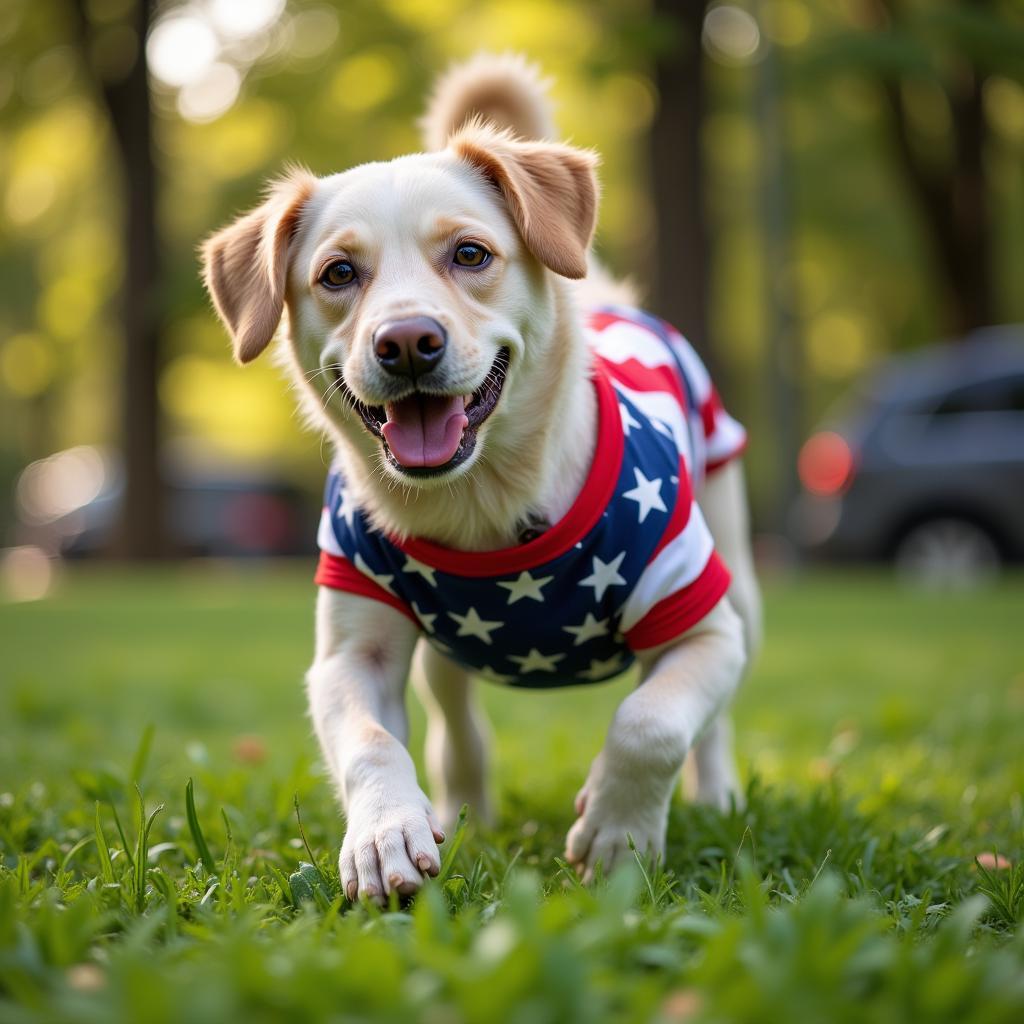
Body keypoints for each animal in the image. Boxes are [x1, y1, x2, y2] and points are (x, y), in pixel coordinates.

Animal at [201, 58, 761, 905]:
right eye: (338, 273)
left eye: (470, 255)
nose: (406, 341)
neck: (486, 503)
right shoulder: (350, 651)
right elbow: (370, 740)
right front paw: (386, 836)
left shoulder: (700, 615)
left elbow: (651, 724)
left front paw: (618, 836)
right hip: (446, 653)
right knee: (454, 722)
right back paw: (463, 810)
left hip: (739, 579)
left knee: (713, 720)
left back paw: (719, 797)